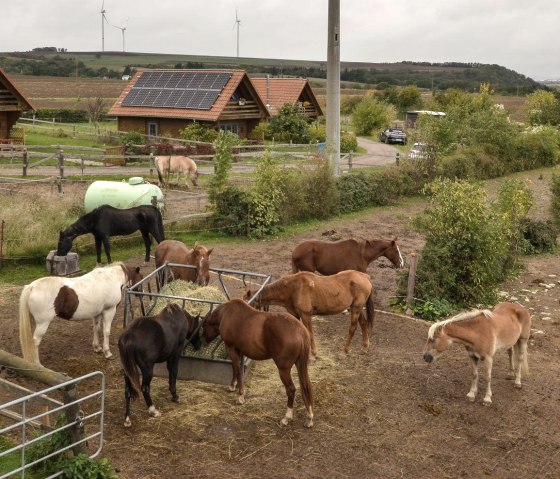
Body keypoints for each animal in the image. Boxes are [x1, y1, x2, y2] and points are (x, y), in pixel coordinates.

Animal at [202, 298, 316, 430]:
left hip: (284, 369)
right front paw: (232, 386)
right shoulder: (238, 350)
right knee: (306, 386)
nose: (203, 342)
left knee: (291, 389)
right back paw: (309, 417)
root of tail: (300, 330)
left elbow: (236, 369)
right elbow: (236, 369)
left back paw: (286, 418)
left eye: (203, 327)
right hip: (300, 365)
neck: (226, 313)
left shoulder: (231, 348)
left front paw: (240, 396)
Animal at [246, 272, 374, 362]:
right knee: (363, 323)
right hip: (356, 308)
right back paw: (365, 347)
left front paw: (312, 355)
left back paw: (344, 352)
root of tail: (365, 276)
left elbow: (310, 333)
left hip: (356, 308)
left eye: (249, 302)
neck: (294, 287)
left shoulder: (306, 315)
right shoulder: (296, 315)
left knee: (352, 328)